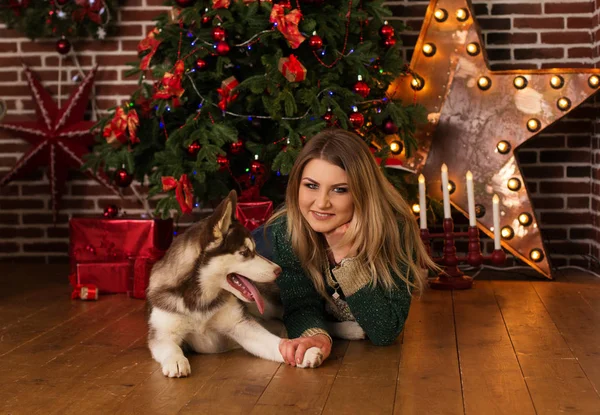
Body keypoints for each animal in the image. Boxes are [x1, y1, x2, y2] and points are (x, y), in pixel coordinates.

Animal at [146, 190, 324, 378]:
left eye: (254, 249)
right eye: (245, 252)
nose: (279, 270)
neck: (202, 299)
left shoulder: (240, 325)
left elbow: (274, 342)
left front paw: (301, 352)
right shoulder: (162, 333)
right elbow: (169, 346)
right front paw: (176, 360)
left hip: (270, 305)